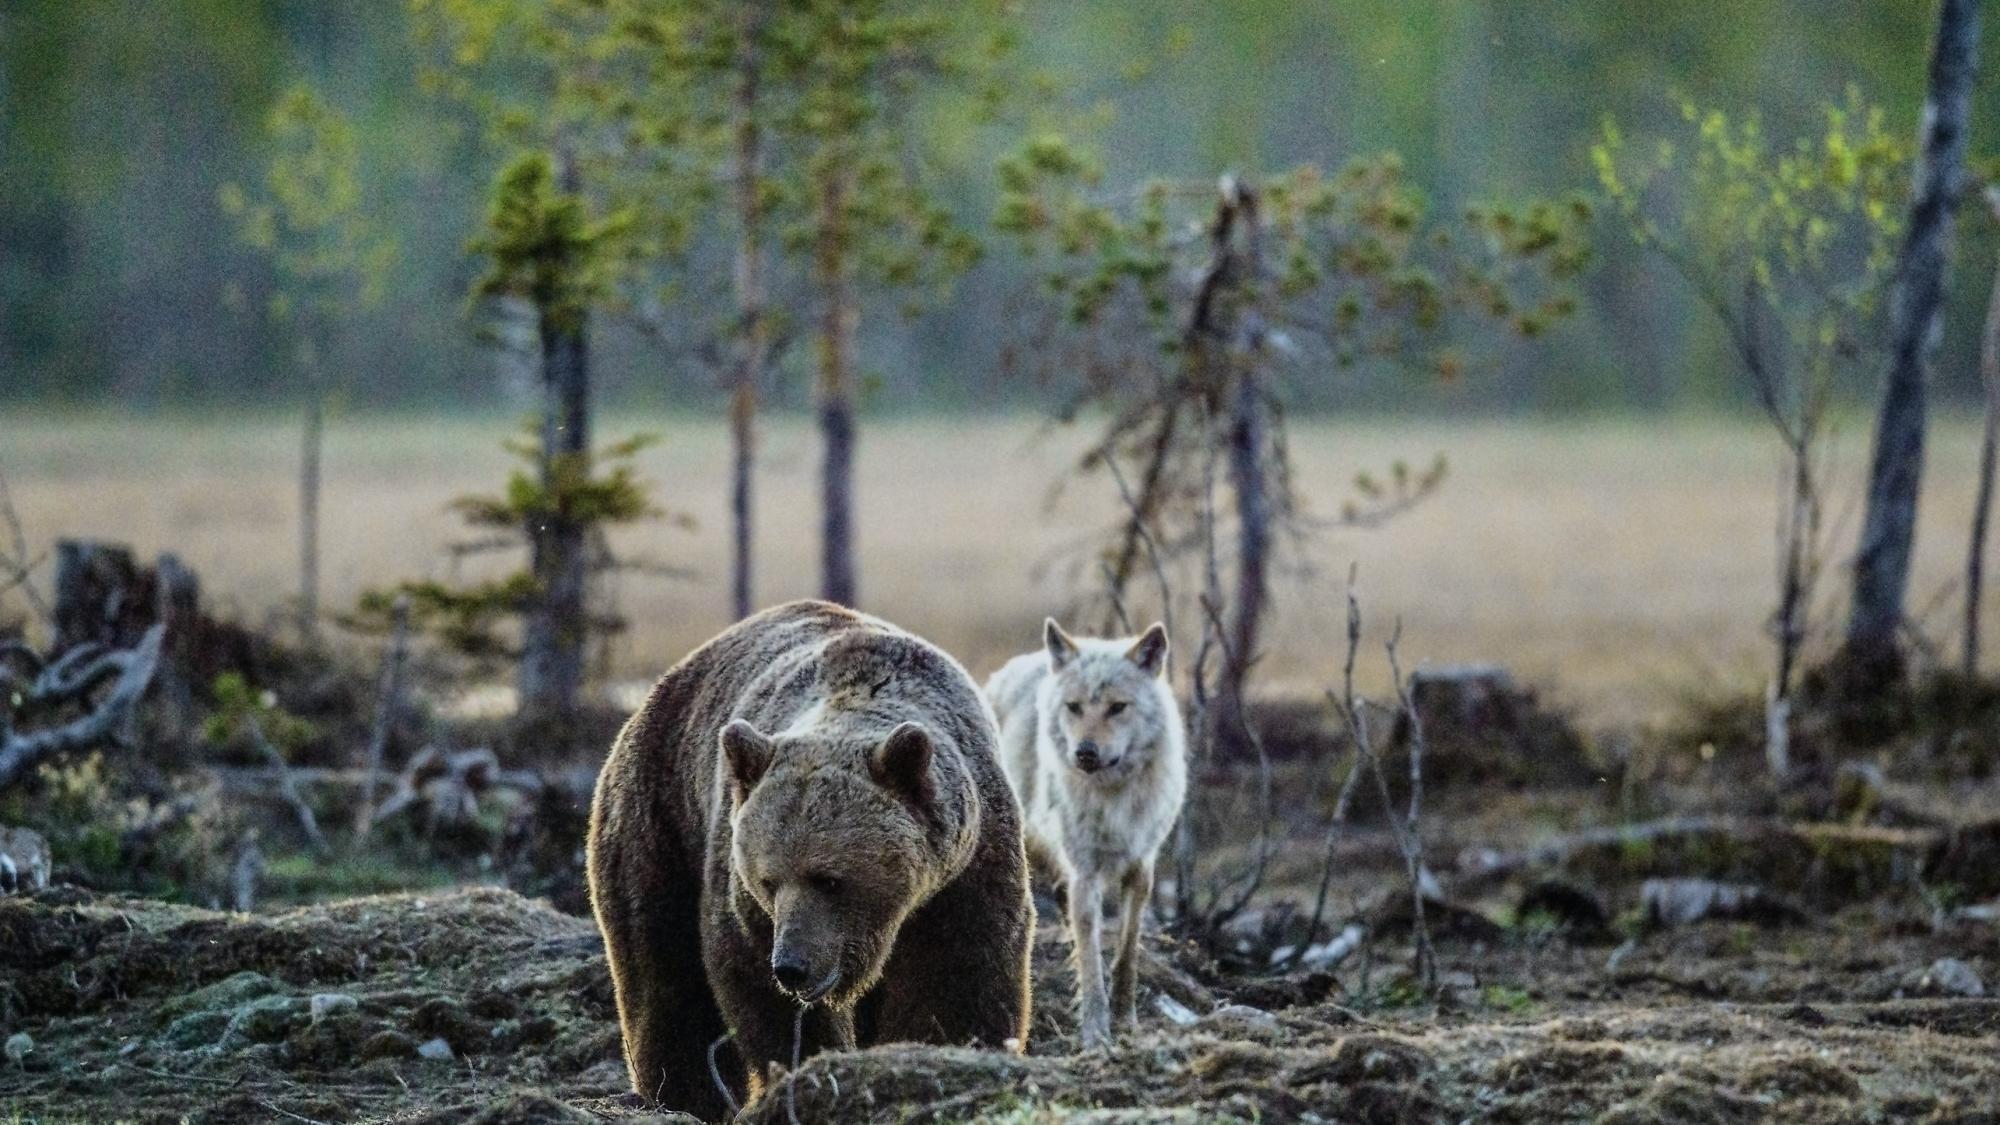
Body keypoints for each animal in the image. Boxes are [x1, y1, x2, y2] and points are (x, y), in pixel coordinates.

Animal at [586, 600, 1034, 1118]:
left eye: (830, 879)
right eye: (768, 880)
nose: (792, 965)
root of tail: (649, 700)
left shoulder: (966, 870)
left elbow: (959, 974)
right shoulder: (738, 887)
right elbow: (756, 983)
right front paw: (808, 1068)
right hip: (660, 822)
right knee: (661, 971)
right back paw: (678, 1094)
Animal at [985, 618, 1187, 1048]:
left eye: (1117, 707)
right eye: (1074, 707)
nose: (1085, 752)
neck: (1113, 798)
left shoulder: (1140, 869)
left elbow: (1126, 952)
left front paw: (1126, 1019)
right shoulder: (1085, 875)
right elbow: (1092, 961)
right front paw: (1096, 1034)